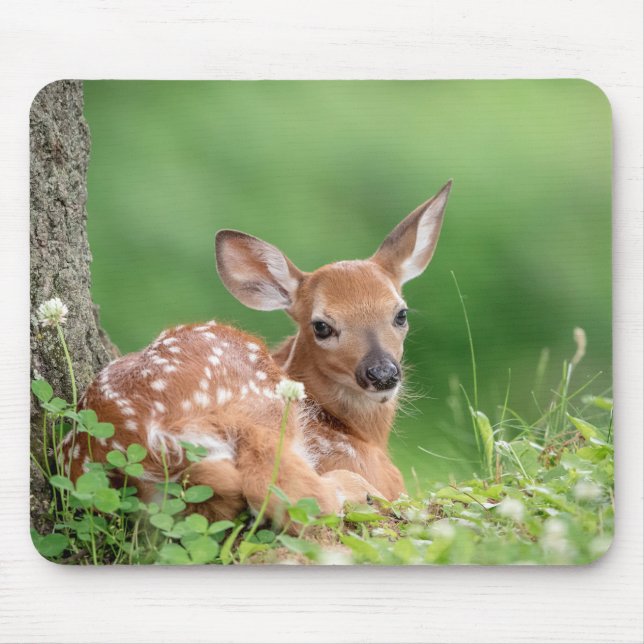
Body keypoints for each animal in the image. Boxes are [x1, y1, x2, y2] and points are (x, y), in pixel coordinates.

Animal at [60, 180, 452, 526]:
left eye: (400, 314)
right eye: (321, 326)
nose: (382, 373)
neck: (357, 432)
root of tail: (149, 440)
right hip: (260, 408)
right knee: (289, 492)